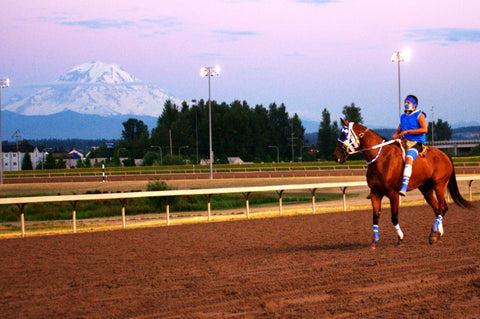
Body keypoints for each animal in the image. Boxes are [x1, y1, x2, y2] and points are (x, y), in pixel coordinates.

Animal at [334, 120, 472, 248]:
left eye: (343, 134)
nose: (336, 156)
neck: (381, 159)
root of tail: (445, 155)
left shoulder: (393, 194)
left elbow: (394, 217)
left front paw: (400, 237)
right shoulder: (375, 193)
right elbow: (375, 217)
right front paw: (374, 241)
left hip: (439, 185)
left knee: (443, 207)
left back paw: (434, 235)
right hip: (426, 189)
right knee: (437, 209)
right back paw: (436, 234)